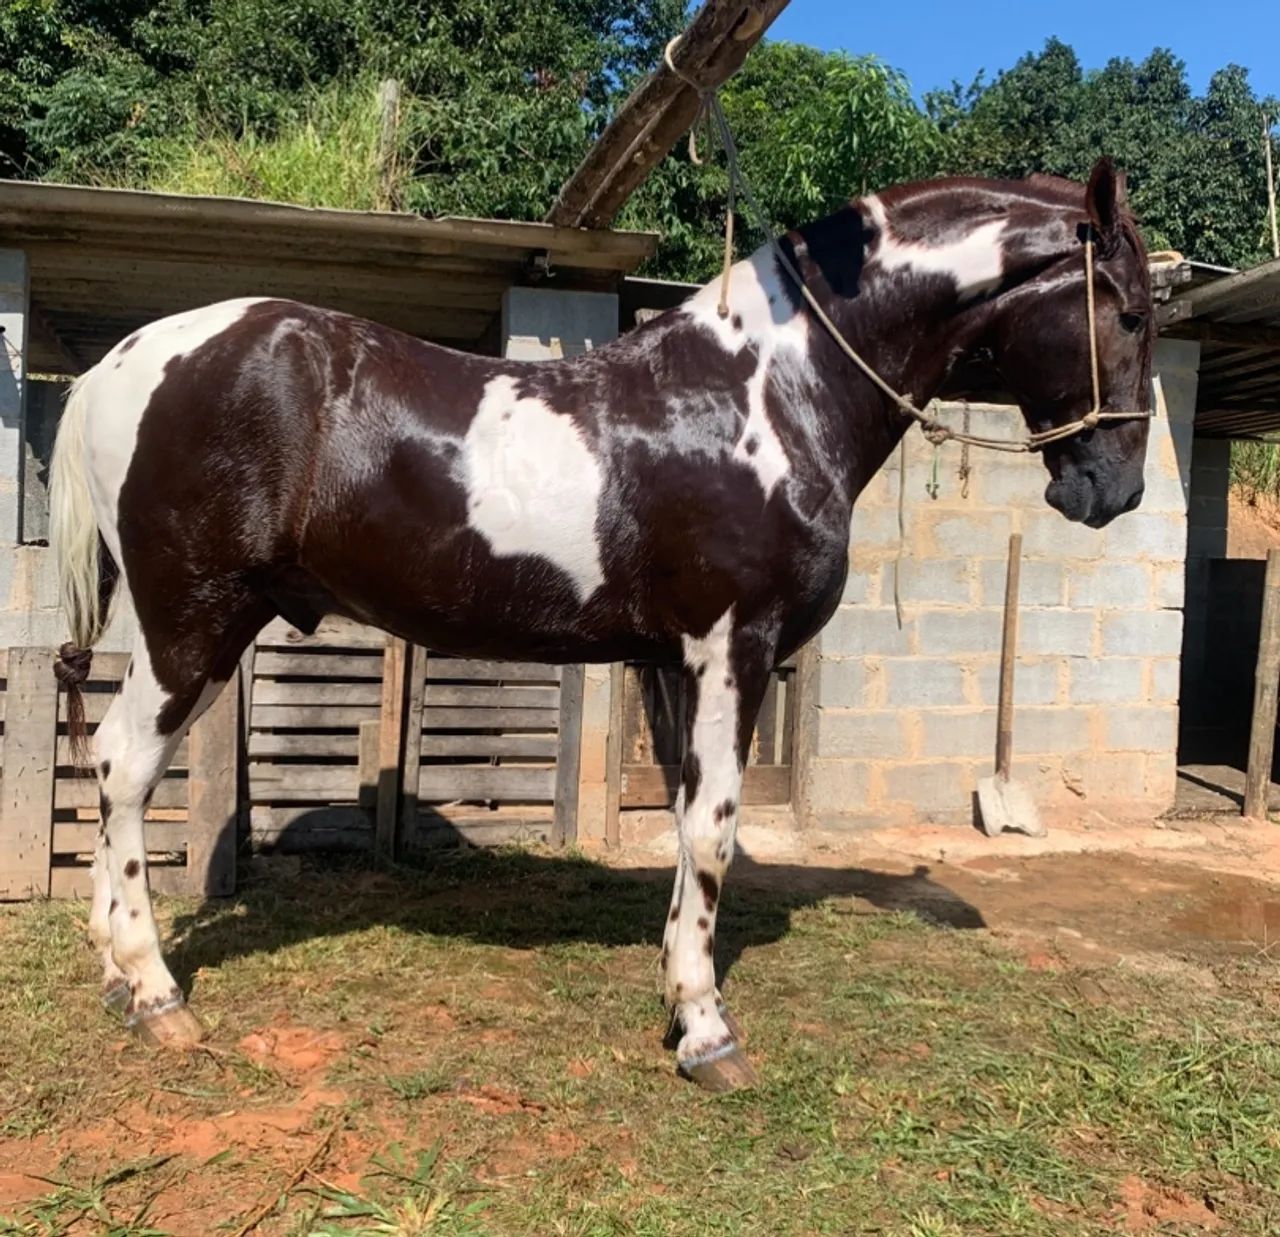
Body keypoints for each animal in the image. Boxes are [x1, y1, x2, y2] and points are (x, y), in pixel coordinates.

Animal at [47, 156, 1154, 1092]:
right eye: (1133, 313)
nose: (1115, 490)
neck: (766, 391)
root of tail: (118, 366)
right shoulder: (733, 646)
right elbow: (712, 828)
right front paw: (707, 1032)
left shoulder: (680, 662)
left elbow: (687, 822)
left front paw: (679, 993)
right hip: (191, 621)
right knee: (123, 766)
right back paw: (155, 991)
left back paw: (115, 977)